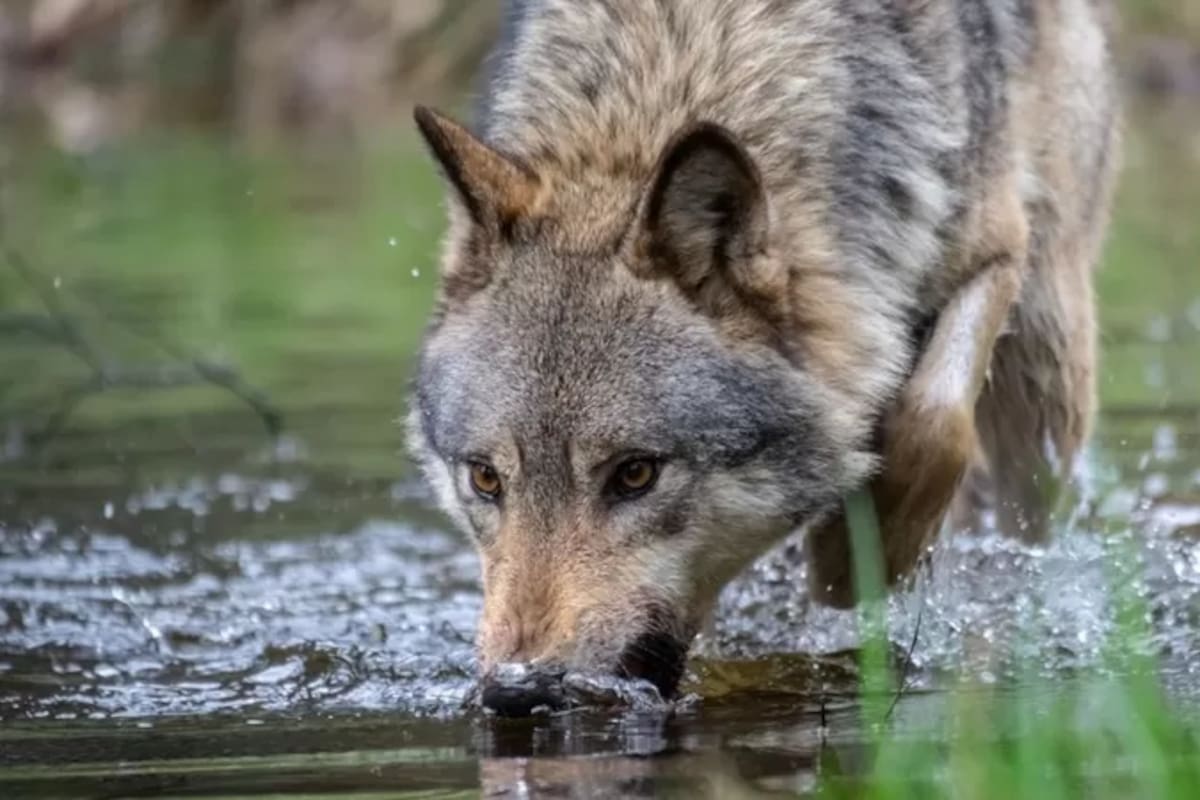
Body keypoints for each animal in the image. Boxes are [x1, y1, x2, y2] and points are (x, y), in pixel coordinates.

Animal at [407, 0, 1120, 710]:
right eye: (485, 479)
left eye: (635, 474)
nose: (518, 691)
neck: (679, 61)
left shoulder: (995, 247)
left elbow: (933, 420)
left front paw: (853, 560)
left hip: (1047, 356)